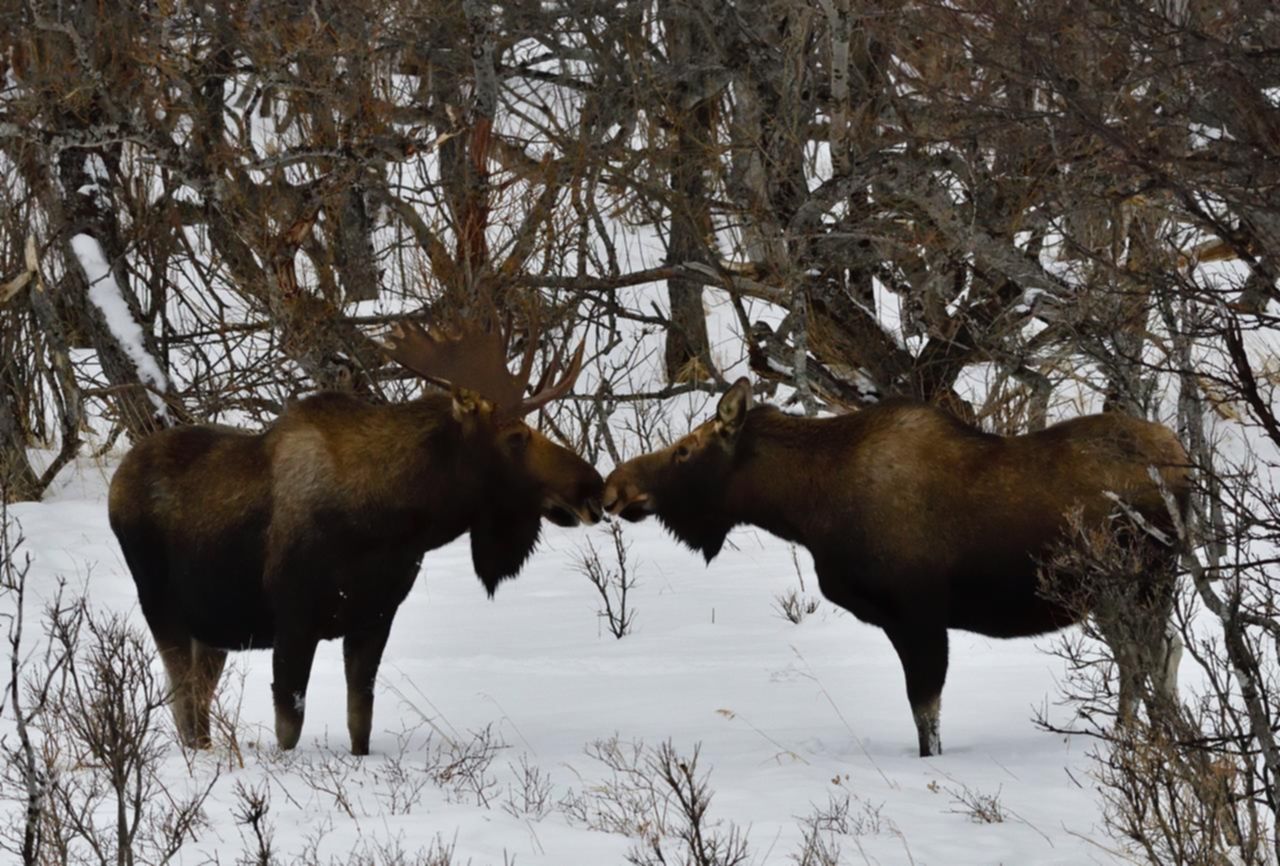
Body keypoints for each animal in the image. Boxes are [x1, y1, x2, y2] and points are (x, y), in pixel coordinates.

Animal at [107, 307, 601, 752]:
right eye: (516, 437)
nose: (592, 488)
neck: (395, 524)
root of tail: (117, 481)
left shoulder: (375, 617)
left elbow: (359, 721)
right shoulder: (294, 619)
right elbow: (289, 727)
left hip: (214, 629)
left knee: (197, 706)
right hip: (162, 607)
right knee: (184, 702)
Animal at [601, 376, 1187, 752]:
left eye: (683, 451)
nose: (614, 486)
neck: (803, 508)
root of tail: (1181, 457)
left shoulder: (918, 613)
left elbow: (925, 714)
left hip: (1144, 583)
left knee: (1154, 658)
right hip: (1114, 596)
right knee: (1152, 660)